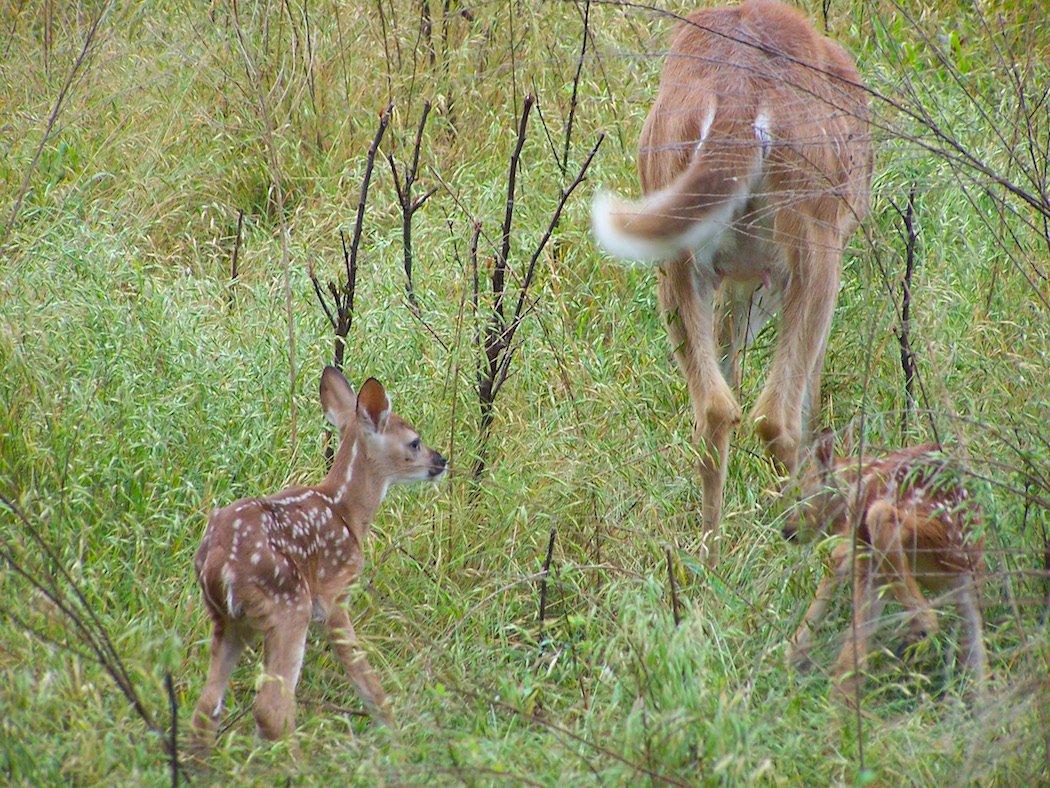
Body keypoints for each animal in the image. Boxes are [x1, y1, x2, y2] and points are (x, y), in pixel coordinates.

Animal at [596, 0, 873, 563]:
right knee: (776, 417)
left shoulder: (740, 277)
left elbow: (729, 354)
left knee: (715, 407)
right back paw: (806, 540)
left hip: (679, 252)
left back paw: (710, 555)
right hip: (814, 241)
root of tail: (740, 102)